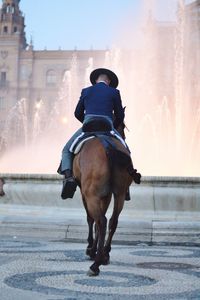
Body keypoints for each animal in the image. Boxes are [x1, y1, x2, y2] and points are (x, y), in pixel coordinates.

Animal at [72, 118, 133, 276]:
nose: (124, 137)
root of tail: (107, 145)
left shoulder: (84, 193)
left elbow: (90, 219)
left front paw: (90, 248)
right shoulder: (107, 194)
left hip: (91, 195)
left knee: (101, 220)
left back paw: (96, 263)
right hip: (120, 194)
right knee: (112, 221)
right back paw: (105, 253)